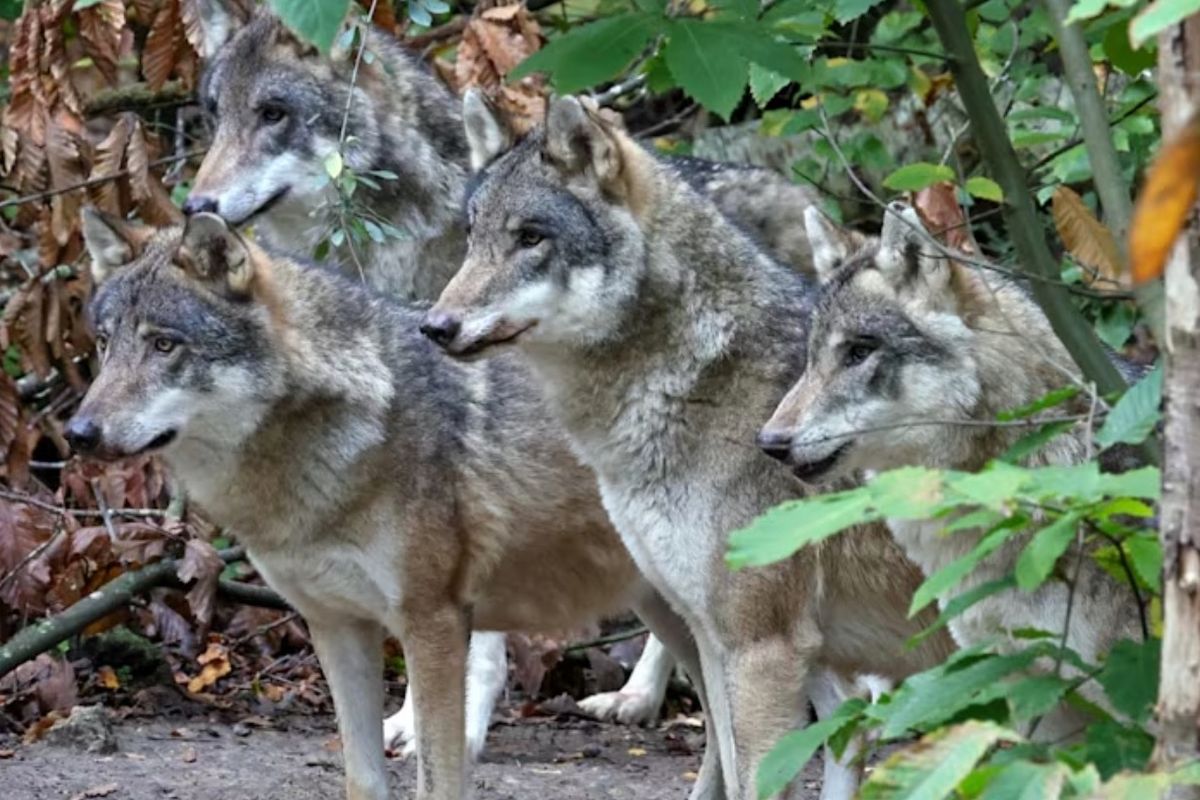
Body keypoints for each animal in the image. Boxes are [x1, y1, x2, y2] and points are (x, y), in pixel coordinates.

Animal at [67, 208, 718, 800]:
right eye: (104, 344)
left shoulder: (434, 623)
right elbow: (361, 776)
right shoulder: (336, 626)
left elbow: (438, 779)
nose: (78, 433)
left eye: (164, 345)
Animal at [421, 95, 956, 800]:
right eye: (474, 233)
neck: (700, 381)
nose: (435, 326)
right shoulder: (719, 634)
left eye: (530, 238)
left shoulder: (761, 644)